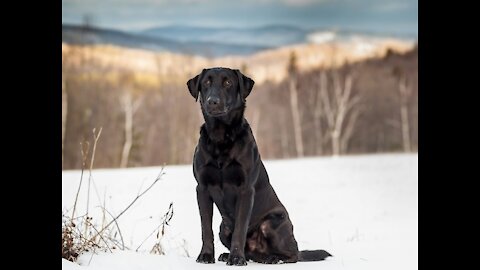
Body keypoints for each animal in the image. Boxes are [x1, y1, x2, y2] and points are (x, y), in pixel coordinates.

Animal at [187, 67, 330, 266]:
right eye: (206, 82)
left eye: (228, 82)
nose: (212, 101)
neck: (220, 137)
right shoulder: (202, 188)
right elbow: (205, 228)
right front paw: (206, 256)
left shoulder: (246, 190)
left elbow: (240, 228)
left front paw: (236, 258)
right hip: (224, 227)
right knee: (252, 252)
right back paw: (233, 255)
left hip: (272, 222)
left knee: (293, 255)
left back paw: (272, 258)